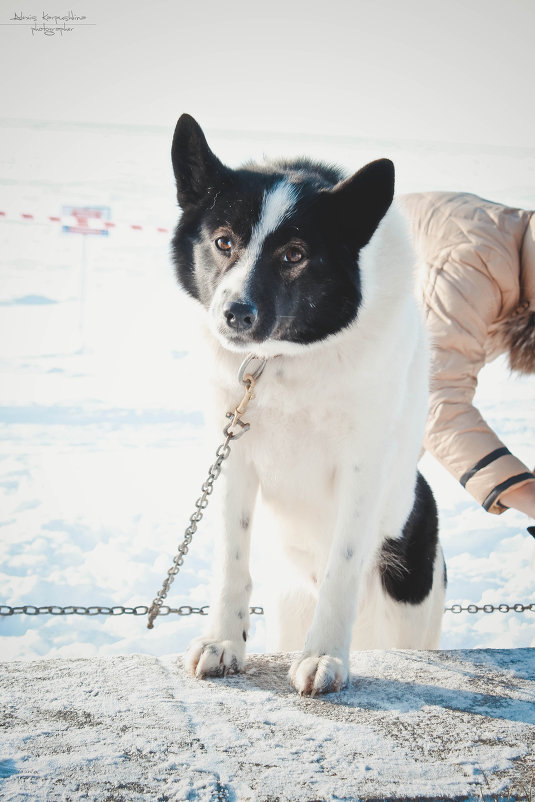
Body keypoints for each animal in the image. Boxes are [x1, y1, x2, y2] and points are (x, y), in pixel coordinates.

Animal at [172, 114, 448, 692]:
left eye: (294, 255)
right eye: (223, 241)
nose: (235, 313)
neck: (280, 364)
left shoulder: (362, 468)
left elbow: (343, 564)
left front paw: (324, 656)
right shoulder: (232, 458)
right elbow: (232, 559)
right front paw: (222, 642)